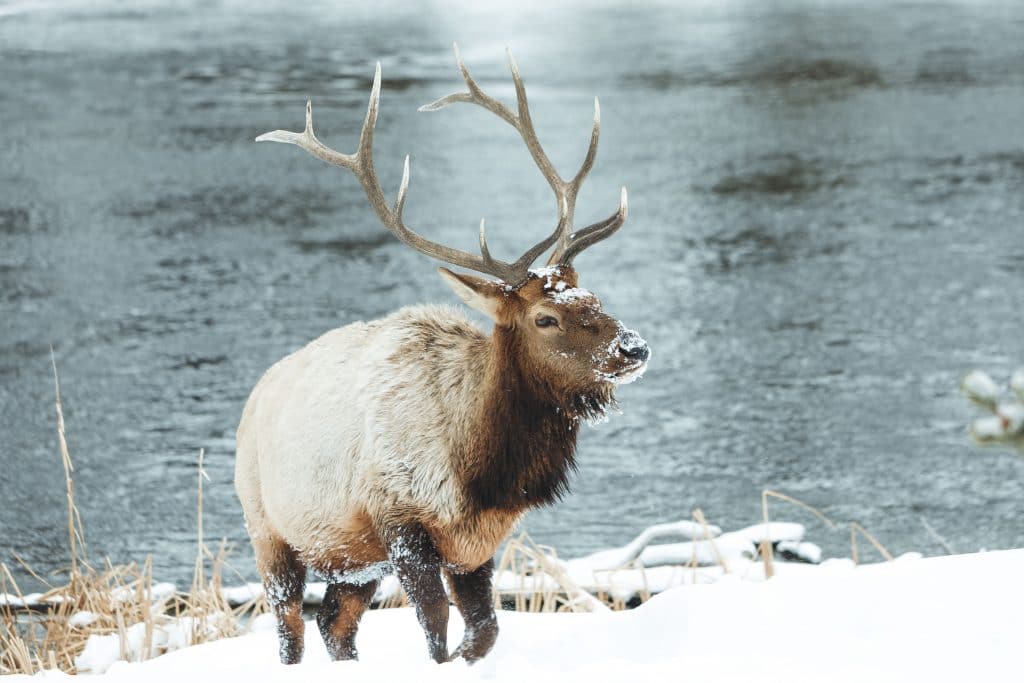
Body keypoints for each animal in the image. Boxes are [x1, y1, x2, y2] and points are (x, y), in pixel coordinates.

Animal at [235, 45, 650, 666]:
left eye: (594, 297)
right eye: (545, 318)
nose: (634, 347)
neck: (481, 471)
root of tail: (255, 395)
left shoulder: (477, 543)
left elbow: (484, 631)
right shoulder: (400, 525)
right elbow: (435, 630)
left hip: (352, 560)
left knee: (335, 622)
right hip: (269, 528)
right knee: (290, 625)